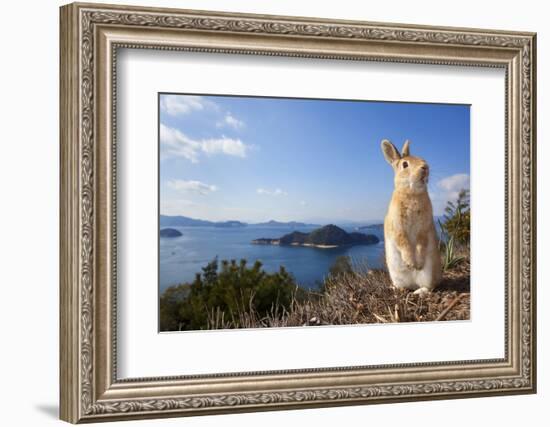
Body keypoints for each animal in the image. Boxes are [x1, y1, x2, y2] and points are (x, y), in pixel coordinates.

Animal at [384, 139, 444, 296]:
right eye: (405, 164)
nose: (425, 167)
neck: (412, 193)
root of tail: (413, 284)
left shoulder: (424, 228)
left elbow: (420, 243)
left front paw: (417, 264)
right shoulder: (398, 227)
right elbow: (403, 242)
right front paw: (410, 263)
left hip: (429, 273)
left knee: (429, 287)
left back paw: (418, 292)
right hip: (396, 275)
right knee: (404, 285)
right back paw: (398, 288)